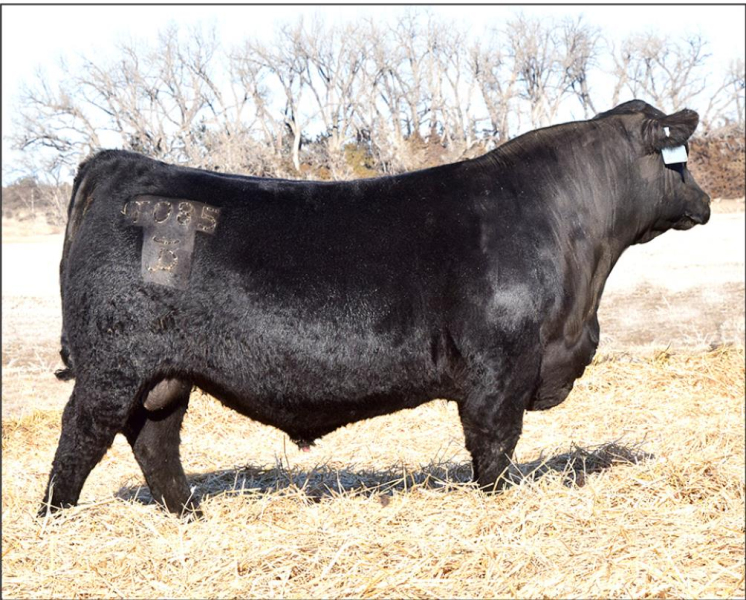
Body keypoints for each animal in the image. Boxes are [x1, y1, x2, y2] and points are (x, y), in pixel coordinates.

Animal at [39, 100, 710, 517]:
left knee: (156, 444)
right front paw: (498, 504)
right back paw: (55, 523)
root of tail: (116, 163)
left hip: (164, 376)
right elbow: (493, 448)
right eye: (679, 160)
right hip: (112, 368)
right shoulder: (499, 369)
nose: (703, 201)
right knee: (80, 440)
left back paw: (191, 517)